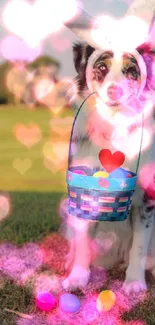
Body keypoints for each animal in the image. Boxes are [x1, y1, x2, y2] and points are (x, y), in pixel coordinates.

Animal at [62, 6, 155, 294]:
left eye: (131, 71)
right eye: (101, 68)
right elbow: (83, 243)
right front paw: (78, 277)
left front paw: (134, 283)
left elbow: (140, 244)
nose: (115, 91)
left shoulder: (147, 196)